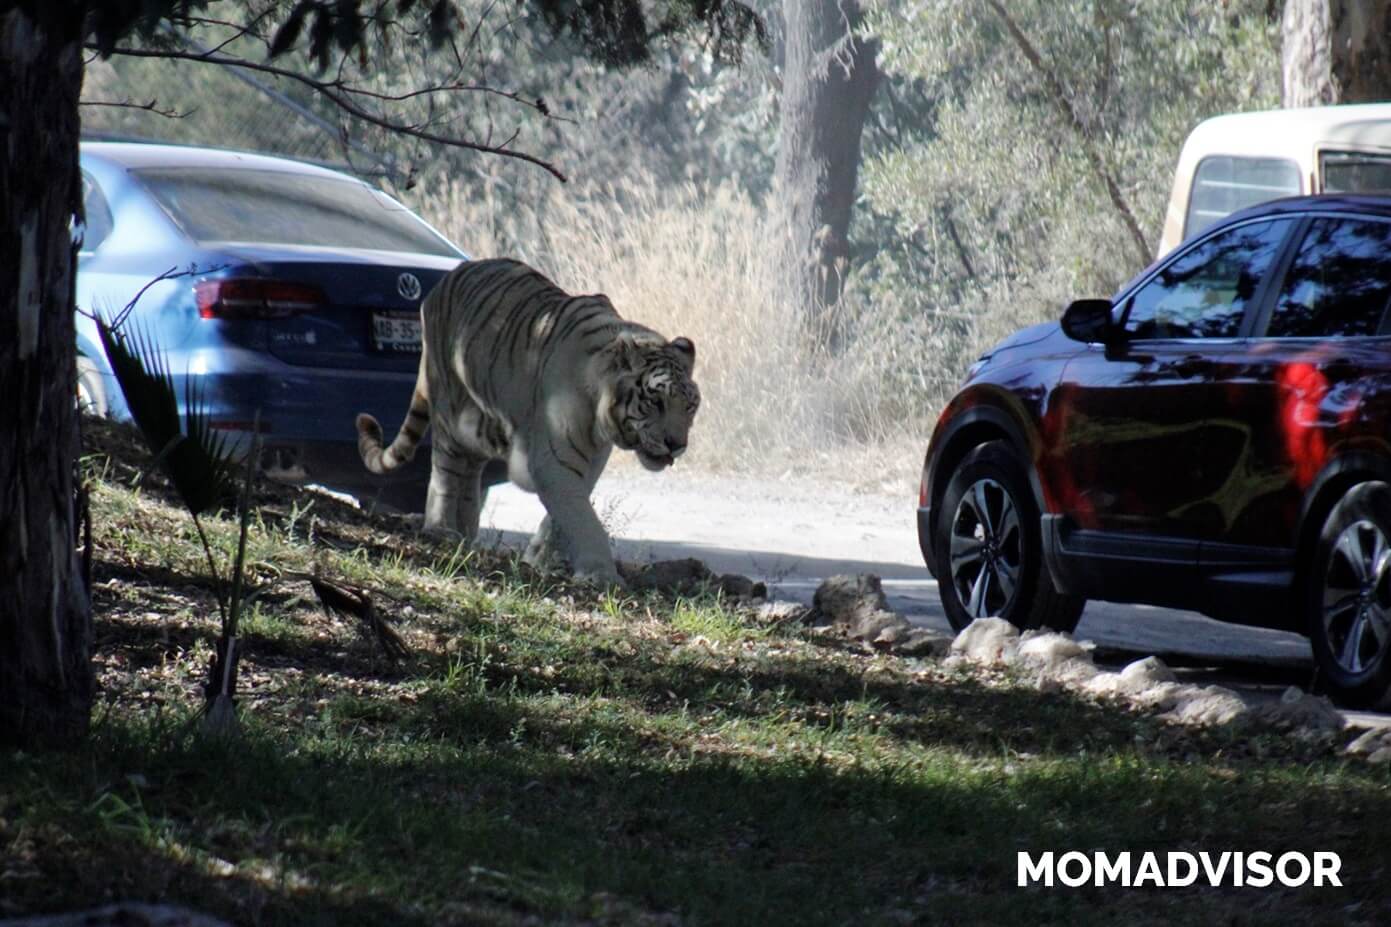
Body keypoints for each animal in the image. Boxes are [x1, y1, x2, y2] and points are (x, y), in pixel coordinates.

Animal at [355, 258, 700, 587]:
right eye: (655, 402)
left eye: (690, 407)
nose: (676, 445)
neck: (603, 421)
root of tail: (448, 277)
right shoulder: (555, 460)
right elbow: (582, 516)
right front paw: (601, 573)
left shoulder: (591, 460)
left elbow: (564, 514)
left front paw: (540, 558)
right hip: (449, 407)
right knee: (446, 470)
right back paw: (442, 530)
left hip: (477, 424)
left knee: (469, 469)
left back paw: (467, 531)